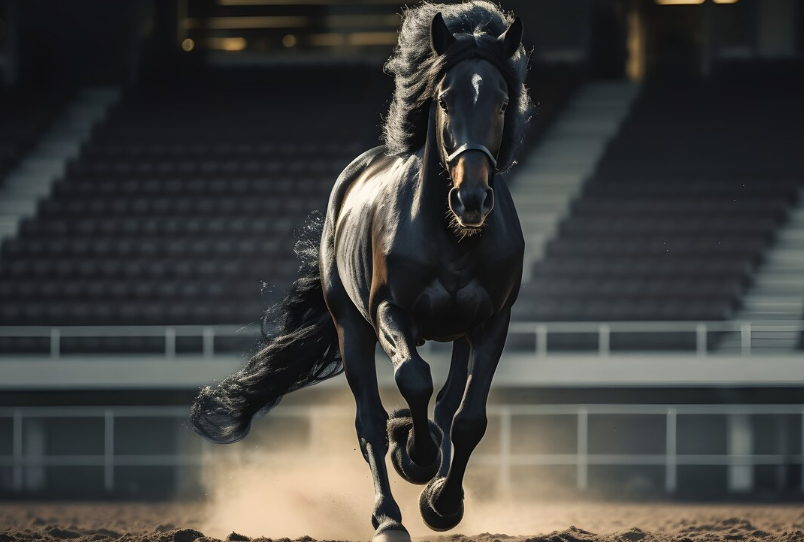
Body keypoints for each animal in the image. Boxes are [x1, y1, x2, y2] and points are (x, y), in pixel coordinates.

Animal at [190, 3, 531, 541]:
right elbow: (413, 378)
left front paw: (443, 502)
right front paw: (413, 453)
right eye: (445, 101)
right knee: (369, 419)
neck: (451, 237)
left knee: (447, 404)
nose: (472, 199)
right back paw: (388, 516)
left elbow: (468, 417)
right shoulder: (388, 311)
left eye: (501, 104)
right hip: (351, 326)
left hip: (457, 332)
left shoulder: (492, 321)